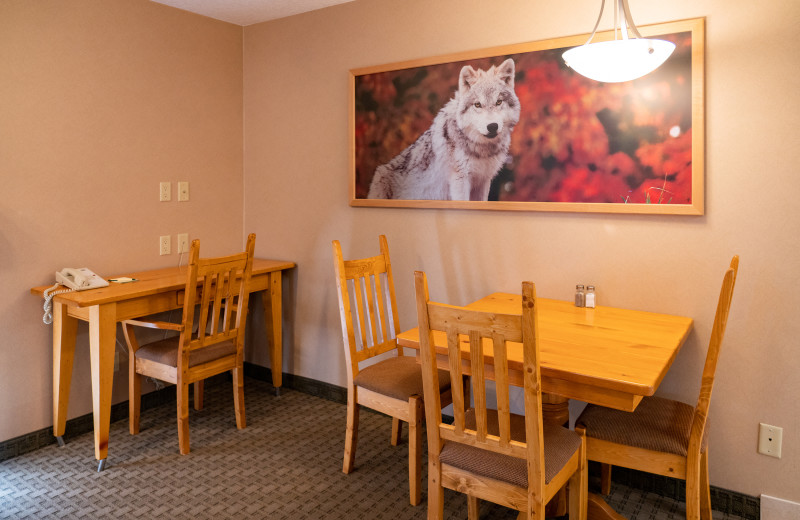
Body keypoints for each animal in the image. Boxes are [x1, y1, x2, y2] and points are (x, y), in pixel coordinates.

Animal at [368, 59, 520, 201]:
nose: (492, 126)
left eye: (498, 102)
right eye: (478, 104)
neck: (481, 149)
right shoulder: (460, 180)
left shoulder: (483, 181)